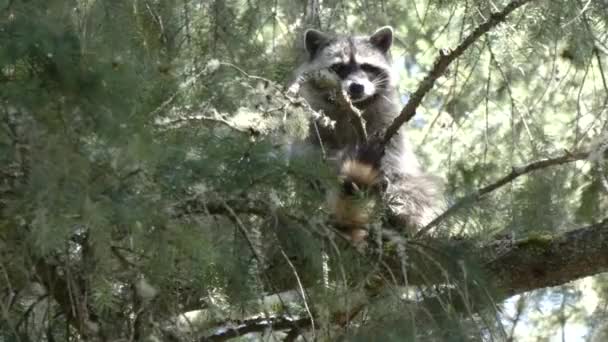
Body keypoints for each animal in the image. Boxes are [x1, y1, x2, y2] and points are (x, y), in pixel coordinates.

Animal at [292, 25, 444, 240]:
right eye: (339, 68)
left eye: (366, 67)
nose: (357, 87)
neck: (353, 108)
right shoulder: (312, 117)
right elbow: (310, 153)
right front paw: (337, 161)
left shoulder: (387, 120)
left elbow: (394, 156)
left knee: (417, 189)